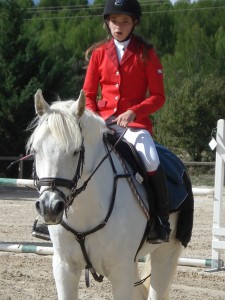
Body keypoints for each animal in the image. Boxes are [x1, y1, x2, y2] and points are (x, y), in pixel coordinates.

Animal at [26, 89, 192, 300]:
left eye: (76, 151)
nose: (49, 207)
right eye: (35, 151)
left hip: (165, 253)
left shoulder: (122, 271)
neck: (86, 210)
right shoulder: (64, 268)